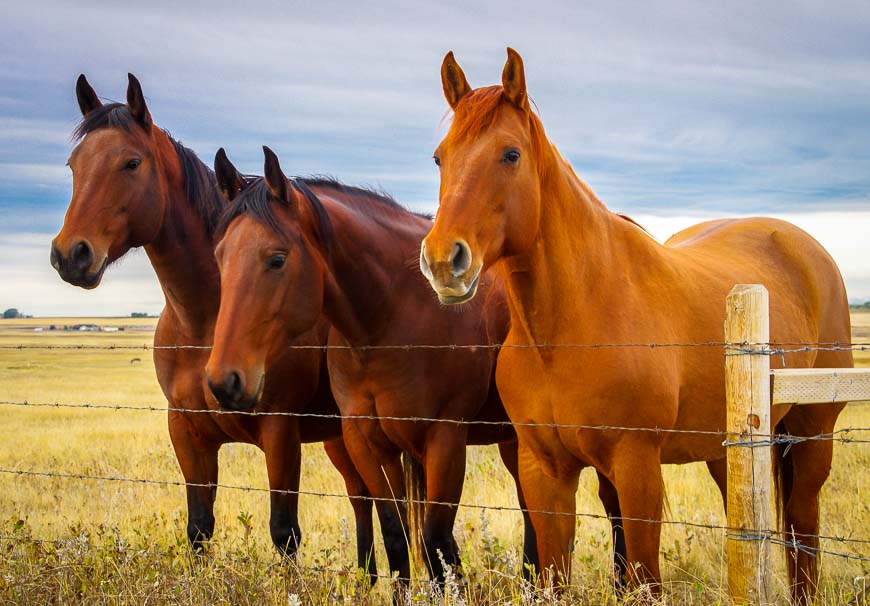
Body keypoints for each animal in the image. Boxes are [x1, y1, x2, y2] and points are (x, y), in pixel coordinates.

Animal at [51, 73, 382, 580]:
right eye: (73, 165)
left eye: (131, 163)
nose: (71, 254)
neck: (204, 323)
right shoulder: (188, 435)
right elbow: (199, 527)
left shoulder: (280, 434)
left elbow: (284, 532)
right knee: (362, 498)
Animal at [202, 145, 548, 592]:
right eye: (220, 257)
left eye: (276, 260)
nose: (223, 381)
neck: (394, 315)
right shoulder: (367, 442)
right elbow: (396, 538)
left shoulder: (445, 441)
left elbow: (437, 545)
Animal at [422, 47, 852, 604]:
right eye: (439, 157)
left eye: (510, 154)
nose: (442, 261)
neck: (569, 329)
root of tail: (808, 248)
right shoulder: (544, 471)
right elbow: (555, 571)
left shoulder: (637, 467)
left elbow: (645, 574)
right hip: (729, 451)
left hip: (812, 432)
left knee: (804, 529)